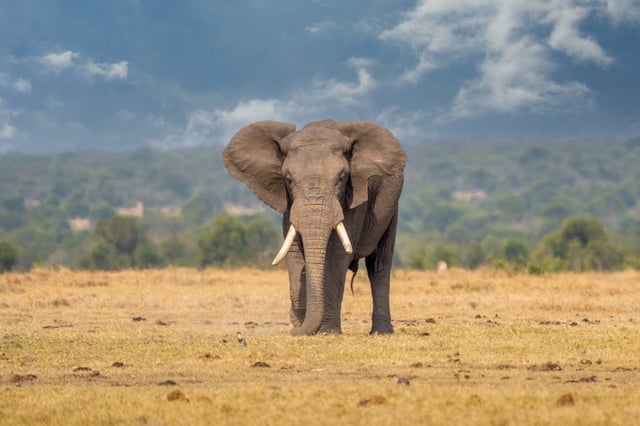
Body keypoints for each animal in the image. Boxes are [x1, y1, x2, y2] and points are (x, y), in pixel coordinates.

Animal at [222, 119, 407, 336]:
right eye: (288, 179)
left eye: (342, 178)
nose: (294, 330)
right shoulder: (290, 204)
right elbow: (293, 252)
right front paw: (299, 320)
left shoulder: (354, 200)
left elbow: (336, 256)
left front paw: (327, 332)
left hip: (392, 206)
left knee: (379, 263)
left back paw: (381, 332)